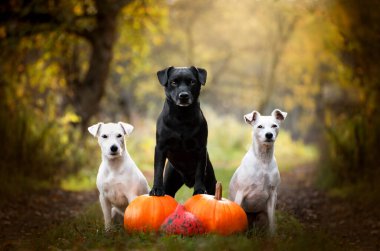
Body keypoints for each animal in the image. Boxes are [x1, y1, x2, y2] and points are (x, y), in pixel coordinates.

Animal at [150, 66, 218, 198]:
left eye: (192, 82)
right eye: (173, 82)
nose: (184, 95)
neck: (182, 116)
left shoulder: (200, 148)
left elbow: (199, 172)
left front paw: (199, 190)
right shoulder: (160, 147)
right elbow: (158, 169)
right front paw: (156, 189)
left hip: (212, 183)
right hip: (170, 182)